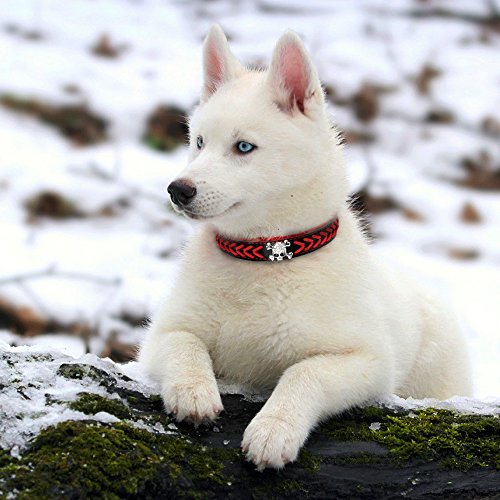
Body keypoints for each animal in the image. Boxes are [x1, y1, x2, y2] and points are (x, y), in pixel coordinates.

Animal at [139, 24, 470, 468]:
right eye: (200, 142)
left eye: (243, 147)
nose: (178, 190)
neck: (265, 257)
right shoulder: (160, 335)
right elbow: (184, 343)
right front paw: (193, 392)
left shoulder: (367, 361)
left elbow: (304, 373)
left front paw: (273, 430)